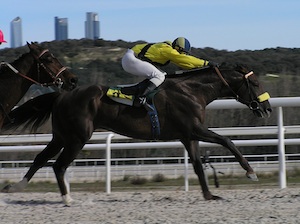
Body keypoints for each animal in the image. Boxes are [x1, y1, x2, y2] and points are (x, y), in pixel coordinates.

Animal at [1, 64, 272, 205]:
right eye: (255, 83)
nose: (267, 108)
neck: (192, 91)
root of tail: (61, 95)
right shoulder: (194, 129)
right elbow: (227, 140)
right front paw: (250, 172)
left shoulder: (188, 135)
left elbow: (197, 165)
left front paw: (209, 194)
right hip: (78, 138)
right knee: (58, 165)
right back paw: (66, 198)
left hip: (61, 136)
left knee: (41, 158)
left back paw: (16, 186)